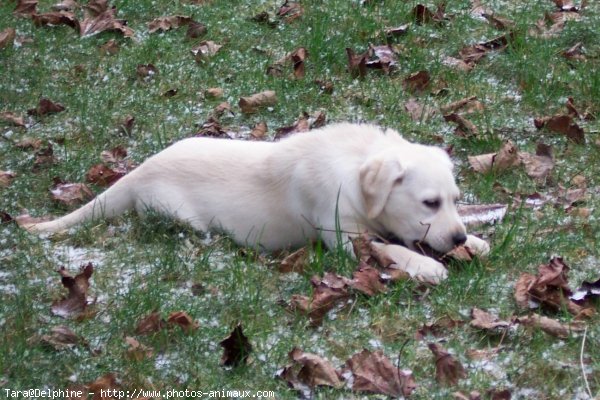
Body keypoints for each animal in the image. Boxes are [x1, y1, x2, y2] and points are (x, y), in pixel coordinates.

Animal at [25, 123, 490, 282]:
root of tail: (139, 170)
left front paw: (476, 241)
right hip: (177, 214)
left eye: (454, 200)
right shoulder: (343, 235)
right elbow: (388, 247)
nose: (456, 238)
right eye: (429, 202)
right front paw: (426, 265)